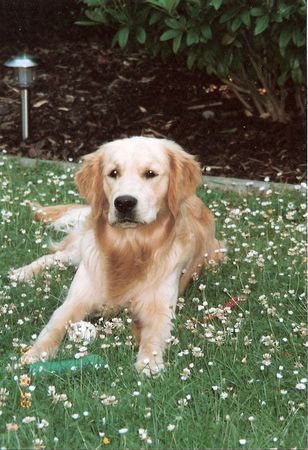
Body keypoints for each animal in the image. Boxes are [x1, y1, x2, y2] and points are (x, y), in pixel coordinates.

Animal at [11, 137, 224, 376]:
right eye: (113, 173)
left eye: (150, 173)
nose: (124, 203)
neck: (128, 247)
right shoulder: (75, 300)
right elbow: (53, 327)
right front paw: (35, 354)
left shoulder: (160, 309)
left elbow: (154, 336)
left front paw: (149, 363)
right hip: (82, 250)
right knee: (55, 256)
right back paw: (21, 273)